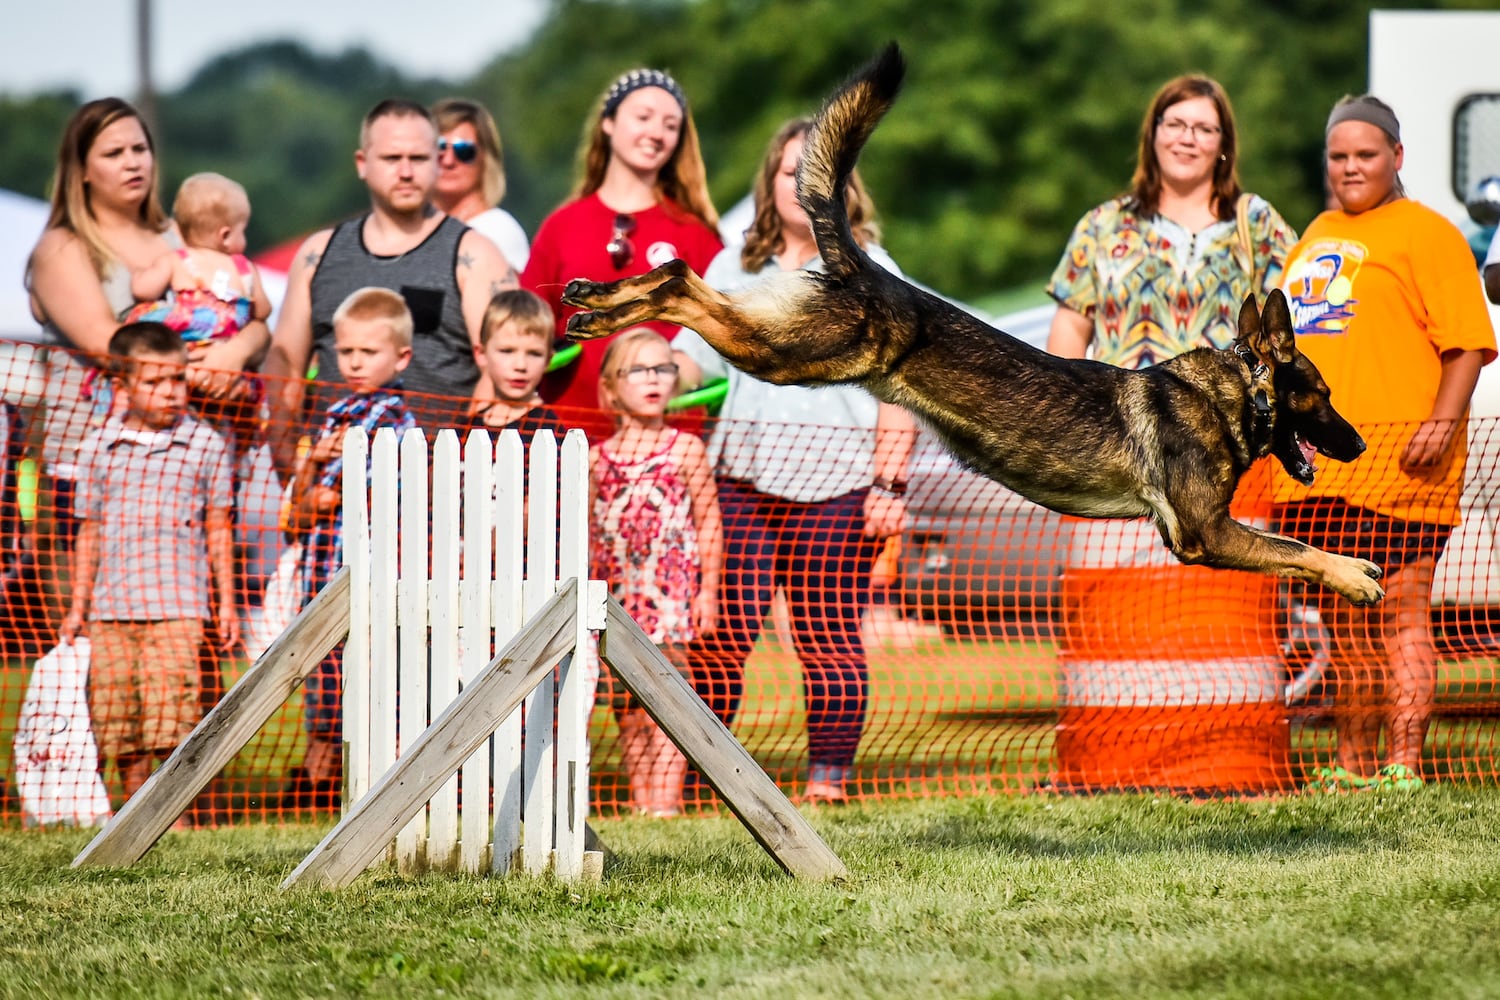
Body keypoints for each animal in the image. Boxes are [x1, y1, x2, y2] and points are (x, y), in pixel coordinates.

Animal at [564, 44, 1380, 602]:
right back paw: (604, 309)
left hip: (784, 342)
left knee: (684, 280)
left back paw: (593, 298)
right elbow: (1294, 545)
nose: (1362, 444)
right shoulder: (1203, 534)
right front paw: (1351, 573)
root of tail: (867, 266)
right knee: (681, 279)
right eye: (1323, 395)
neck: (1238, 390)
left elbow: (1287, 540)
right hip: (794, 352)